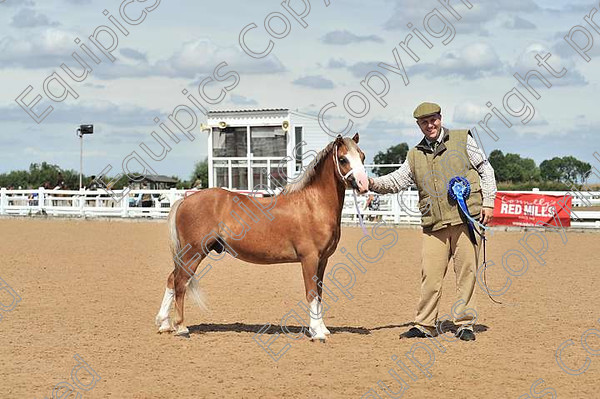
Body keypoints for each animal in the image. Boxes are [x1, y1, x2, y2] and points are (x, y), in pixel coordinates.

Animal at [155, 134, 368, 340]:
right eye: (343, 159)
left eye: (362, 156)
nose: (364, 185)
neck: (313, 205)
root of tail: (184, 201)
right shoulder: (310, 259)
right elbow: (311, 293)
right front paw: (316, 332)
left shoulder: (322, 261)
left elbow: (320, 294)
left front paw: (322, 329)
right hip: (193, 253)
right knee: (180, 282)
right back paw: (181, 327)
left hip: (189, 255)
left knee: (172, 279)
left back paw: (164, 324)